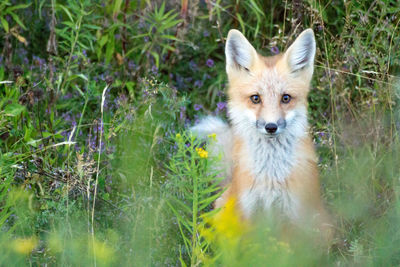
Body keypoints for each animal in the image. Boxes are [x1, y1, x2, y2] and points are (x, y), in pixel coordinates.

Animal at [192, 28, 332, 242]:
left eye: (286, 98)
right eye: (255, 98)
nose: (271, 127)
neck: (270, 177)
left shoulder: (292, 215)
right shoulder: (248, 211)